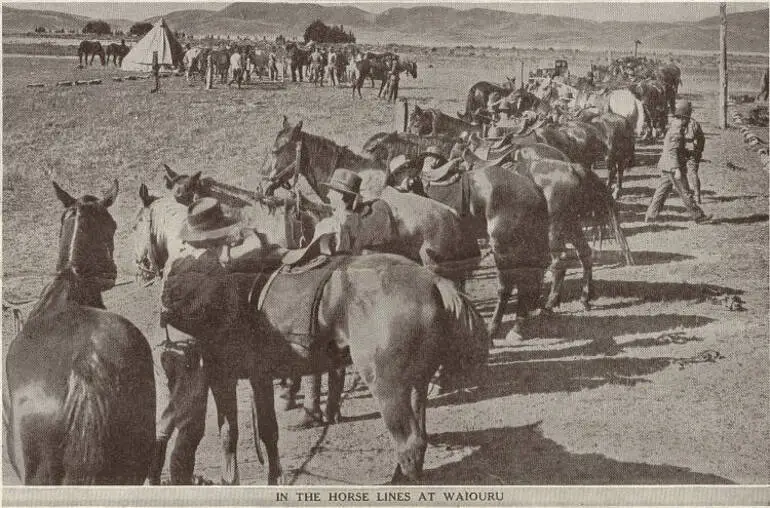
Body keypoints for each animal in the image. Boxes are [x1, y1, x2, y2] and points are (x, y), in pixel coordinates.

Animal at [133, 190, 488, 484]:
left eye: (137, 222)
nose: (141, 266)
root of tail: (433, 281)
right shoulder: (258, 376)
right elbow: (268, 432)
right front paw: (273, 479)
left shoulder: (222, 376)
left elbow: (228, 433)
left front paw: (229, 480)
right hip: (415, 383)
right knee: (419, 437)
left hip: (388, 386)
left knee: (409, 442)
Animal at [268, 115, 548, 338]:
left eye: (277, 150)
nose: (265, 184)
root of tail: (533, 187)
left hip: (503, 247)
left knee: (508, 284)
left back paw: (500, 327)